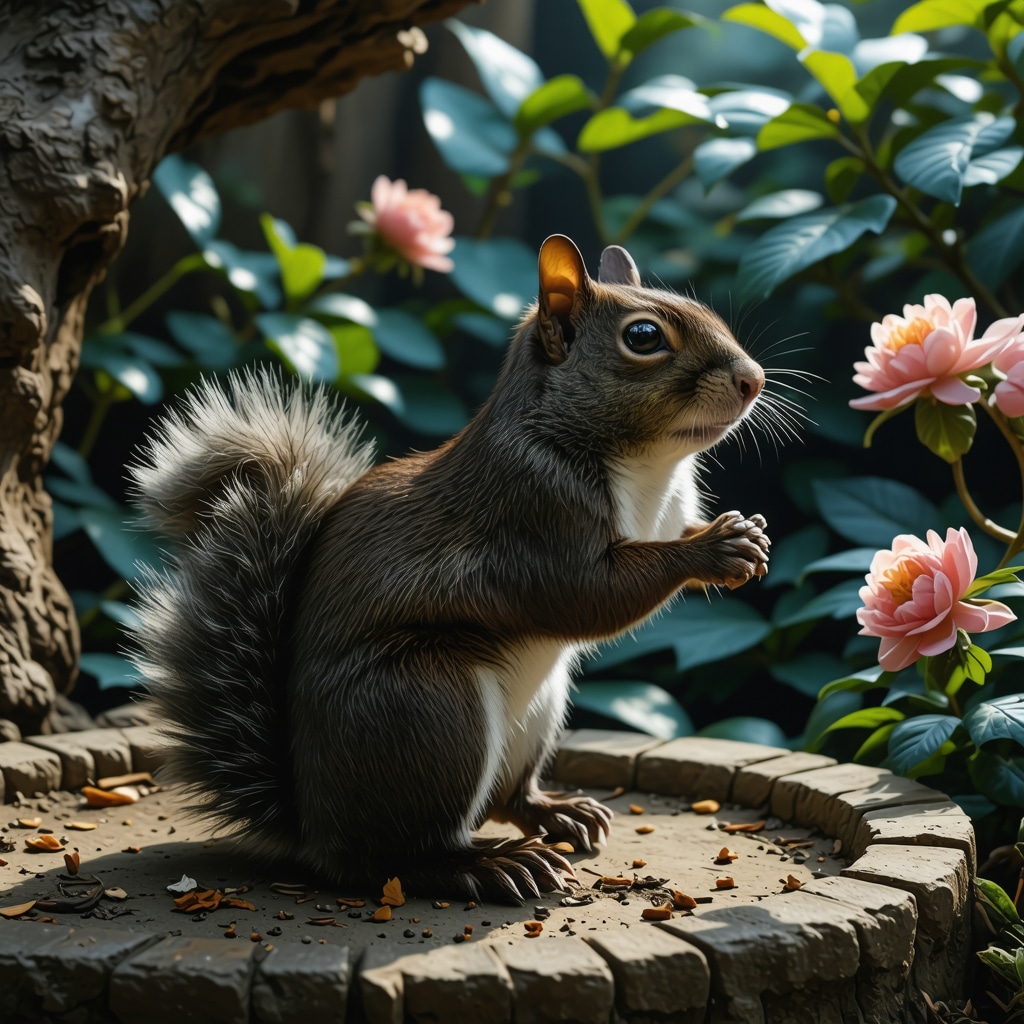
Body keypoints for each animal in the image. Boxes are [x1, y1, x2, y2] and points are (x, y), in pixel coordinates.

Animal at [128, 235, 770, 903]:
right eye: (643, 336)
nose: (753, 379)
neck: (648, 468)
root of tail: (314, 829)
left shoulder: (662, 514)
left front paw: (744, 536)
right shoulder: (530, 517)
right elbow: (587, 595)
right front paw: (714, 549)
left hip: (534, 713)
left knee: (508, 799)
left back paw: (556, 813)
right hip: (431, 708)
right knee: (397, 858)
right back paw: (485, 866)